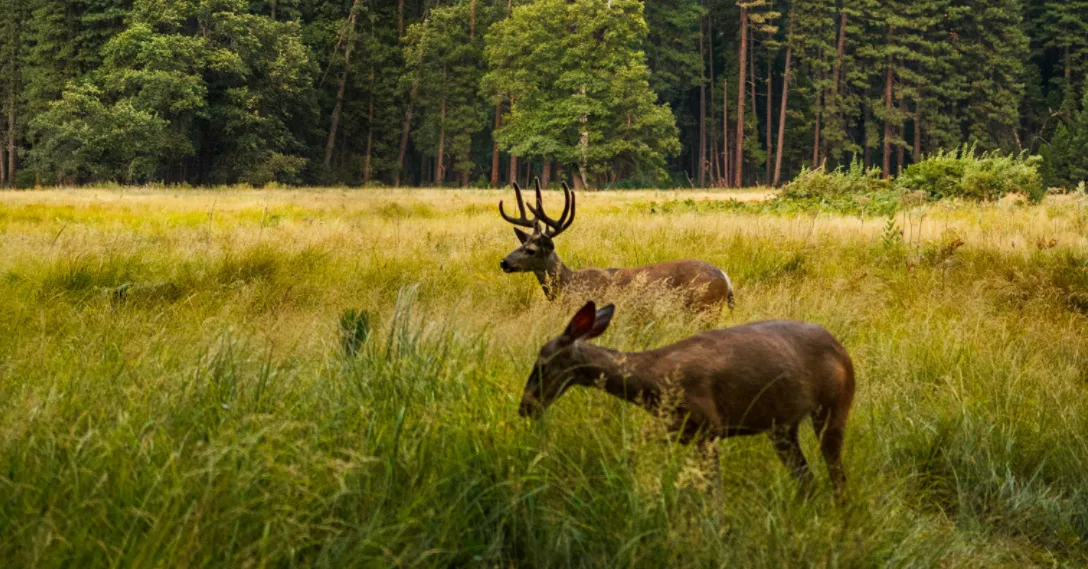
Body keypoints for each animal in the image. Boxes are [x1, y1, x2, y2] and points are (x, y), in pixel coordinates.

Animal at [498, 181, 735, 311]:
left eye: (531, 250)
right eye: (521, 243)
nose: (504, 262)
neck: (569, 284)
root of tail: (726, 278)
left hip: (705, 308)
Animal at [517, 301, 856, 497]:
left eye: (541, 364)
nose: (525, 408)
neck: (653, 380)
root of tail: (842, 349)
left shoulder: (709, 426)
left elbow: (713, 492)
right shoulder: (674, 428)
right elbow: (634, 453)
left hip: (834, 407)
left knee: (837, 477)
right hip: (782, 427)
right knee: (807, 478)